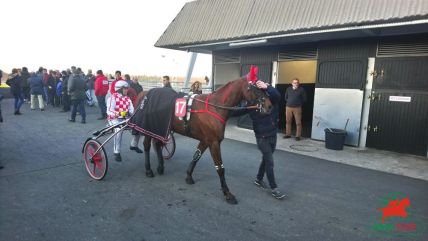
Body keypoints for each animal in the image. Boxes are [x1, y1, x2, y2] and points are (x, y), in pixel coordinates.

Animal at [135, 76, 272, 203]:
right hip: (149, 127)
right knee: (147, 145)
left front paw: (189, 176)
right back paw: (148, 170)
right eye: (255, 87)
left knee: (158, 144)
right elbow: (220, 168)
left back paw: (160, 167)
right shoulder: (214, 142)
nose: (269, 106)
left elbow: (196, 157)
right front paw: (227, 193)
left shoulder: (206, 140)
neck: (215, 107)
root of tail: (144, 94)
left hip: (161, 127)